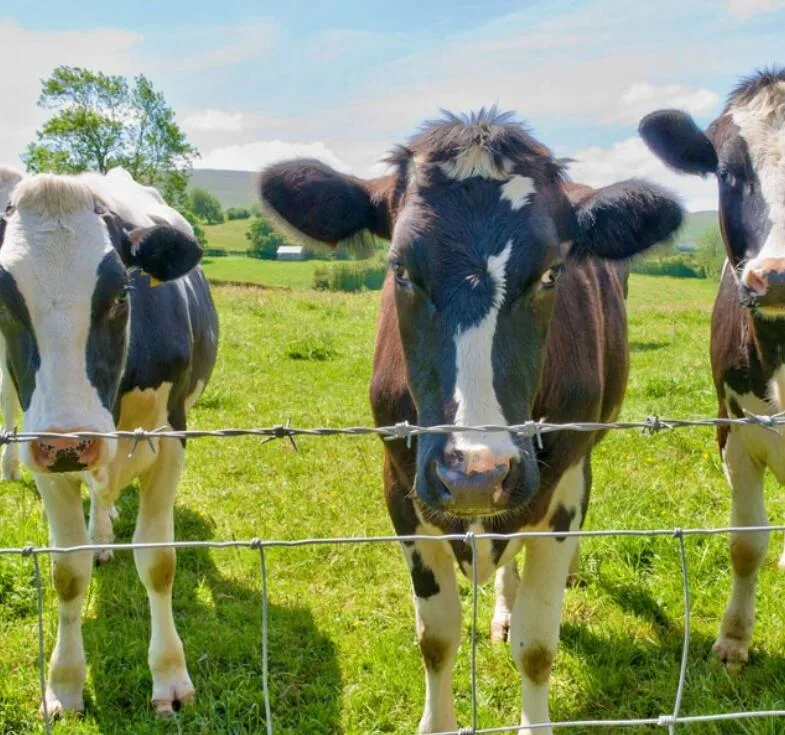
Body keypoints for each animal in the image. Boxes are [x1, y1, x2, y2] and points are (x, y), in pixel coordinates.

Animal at [0, 168, 217, 720]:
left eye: (121, 294)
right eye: (3, 302)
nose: (70, 442)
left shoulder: (170, 440)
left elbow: (158, 562)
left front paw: (170, 677)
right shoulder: (41, 450)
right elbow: (67, 571)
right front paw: (64, 683)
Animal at [256, 110, 680, 735]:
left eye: (551, 272)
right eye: (401, 269)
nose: (476, 473)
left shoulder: (560, 493)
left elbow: (538, 644)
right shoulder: (400, 486)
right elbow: (437, 637)